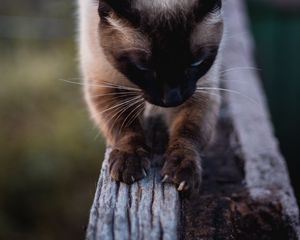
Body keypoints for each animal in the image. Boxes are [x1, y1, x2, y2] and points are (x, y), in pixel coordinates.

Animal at [77, 0, 223, 192]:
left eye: (196, 63)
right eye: (143, 68)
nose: (172, 99)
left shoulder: (200, 91)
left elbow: (188, 134)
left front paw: (181, 171)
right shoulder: (106, 82)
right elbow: (126, 127)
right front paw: (129, 162)